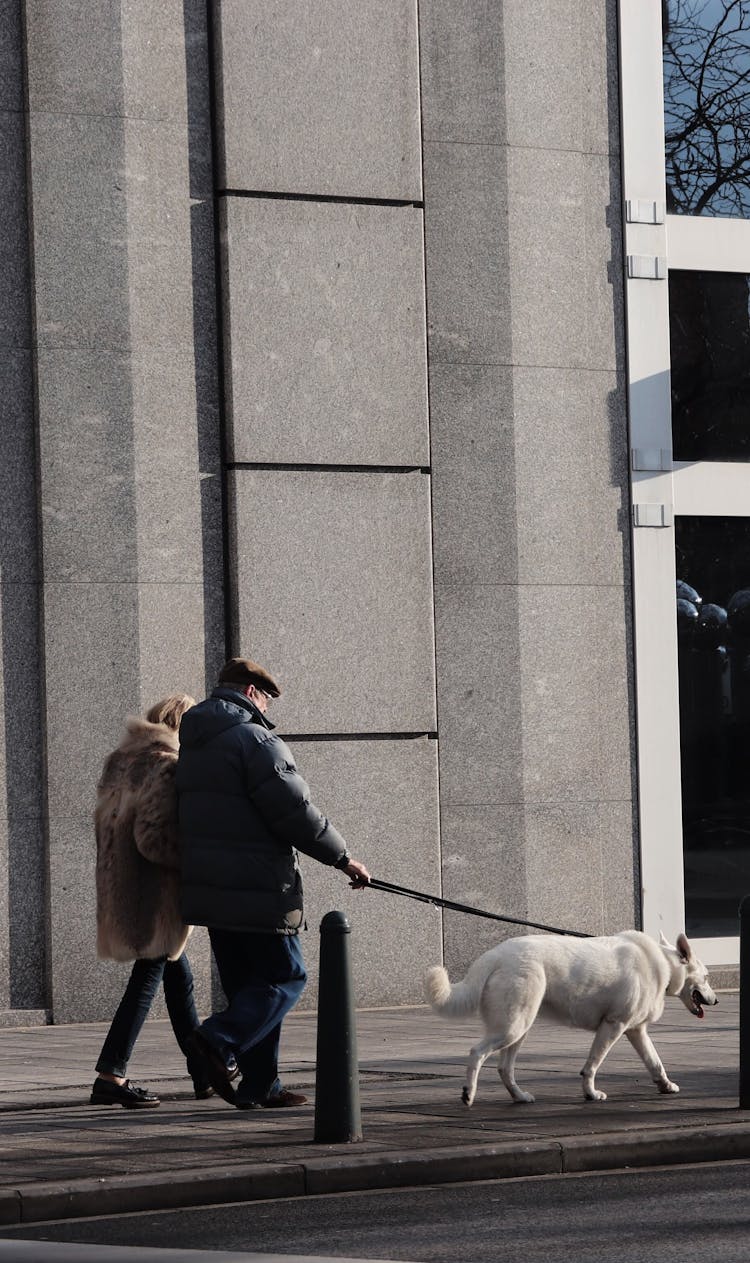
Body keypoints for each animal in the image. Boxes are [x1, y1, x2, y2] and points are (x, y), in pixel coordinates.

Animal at [424, 929, 717, 1106]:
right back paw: (468, 1094)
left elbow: (655, 1062)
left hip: (519, 1028)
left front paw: (665, 1085)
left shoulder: (636, 1031)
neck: (664, 964)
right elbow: (592, 1065)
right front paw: (590, 1093)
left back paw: (519, 1096)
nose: (716, 1000)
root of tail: (495, 955)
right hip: (512, 1027)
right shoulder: (613, 1026)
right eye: (706, 977)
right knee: (477, 1052)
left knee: (504, 1068)